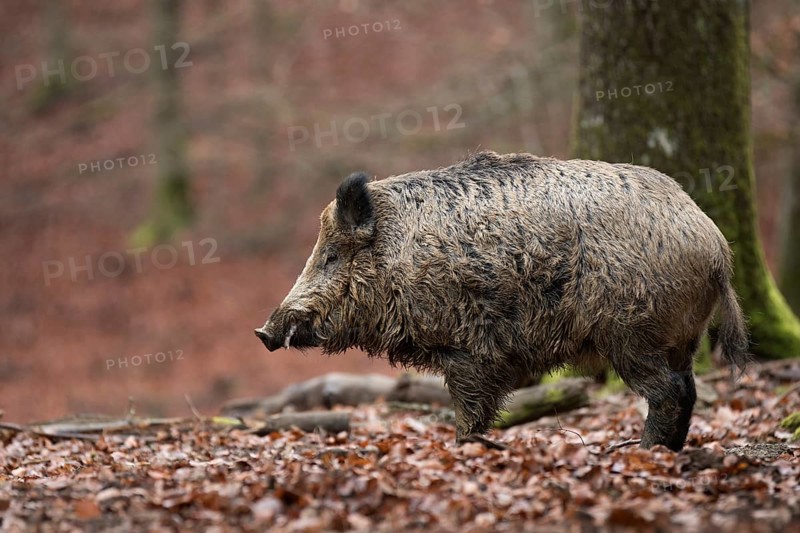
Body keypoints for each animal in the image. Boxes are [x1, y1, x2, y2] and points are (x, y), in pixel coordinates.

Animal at [255, 151, 748, 451]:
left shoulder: (468, 349)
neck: (400, 259)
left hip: (632, 334)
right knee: (688, 389)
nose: (263, 331)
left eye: (331, 256)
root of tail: (716, 247)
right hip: (679, 338)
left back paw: (643, 452)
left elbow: (472, 410)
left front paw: (464, 449)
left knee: (668, 392)